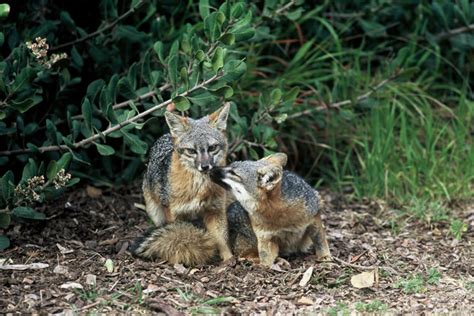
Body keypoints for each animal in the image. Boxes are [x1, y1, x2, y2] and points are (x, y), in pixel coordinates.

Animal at [131, 103, 233, 264]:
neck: (199, 188)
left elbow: (222, 239)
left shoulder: (216, 209)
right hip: (156, 211)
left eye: (212, 148)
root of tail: (166, 136)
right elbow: (177, 234)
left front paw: (229, 259)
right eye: (191, 151)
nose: (205, 166)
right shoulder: (174, 213)